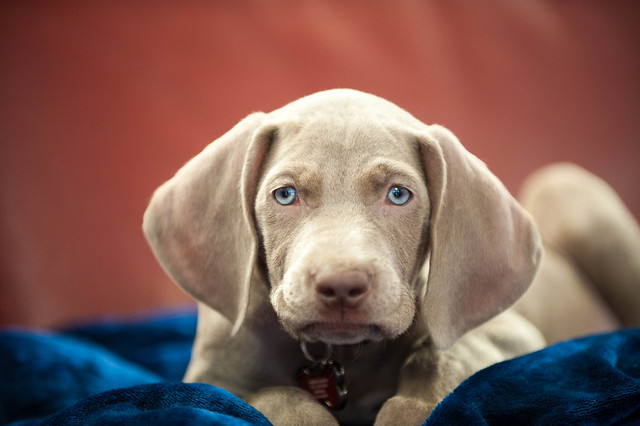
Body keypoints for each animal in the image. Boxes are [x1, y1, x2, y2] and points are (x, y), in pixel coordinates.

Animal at [145, 88, 640, 424]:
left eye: (399, 194)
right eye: (284, 194)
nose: (341, 285)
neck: (340, 358)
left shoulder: (511, 335)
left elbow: (439, 356)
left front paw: (410, 409)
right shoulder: (210, 375)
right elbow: (271, 395)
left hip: (565, 188)